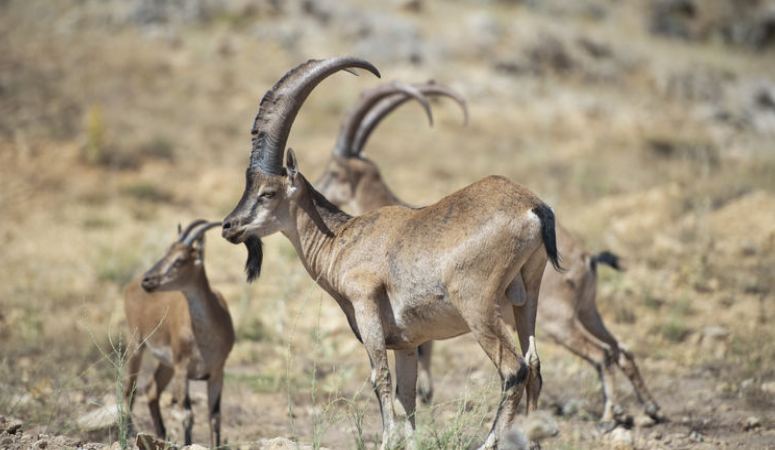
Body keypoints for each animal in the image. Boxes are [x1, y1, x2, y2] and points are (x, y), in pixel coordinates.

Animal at [122, 220, 233, 444]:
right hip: (136, 343)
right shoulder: (182, 369)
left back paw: (161, 434)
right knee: (131, 387)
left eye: (180, 260)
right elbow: (187, 415)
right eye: (166, 252)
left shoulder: (217, 372)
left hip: (167, 365)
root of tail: (131, 286)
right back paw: (129, 432)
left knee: (151, 389)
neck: (205, 338)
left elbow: (215, 416)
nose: (148, 280)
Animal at [221, 57, 560, 450]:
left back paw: (490, 441)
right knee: (533, 364)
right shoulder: (408, 342)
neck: (341, 239)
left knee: (513, 368)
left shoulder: (366, 304)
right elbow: (406, 395)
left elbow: (380, 377)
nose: (229, 226)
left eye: (268, 192)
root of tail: (533, 207)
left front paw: (386, 440)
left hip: (477, 303)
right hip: (526, 297)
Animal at [312, 85, 664, 428]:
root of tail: (587, 258)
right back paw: (648, 409)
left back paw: (608, 417)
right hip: (587, 312)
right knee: (620, 350)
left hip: (555, 320)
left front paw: (424, 395)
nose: (317, 190)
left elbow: (422, 351)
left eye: (333, 171)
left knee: (600, 354)